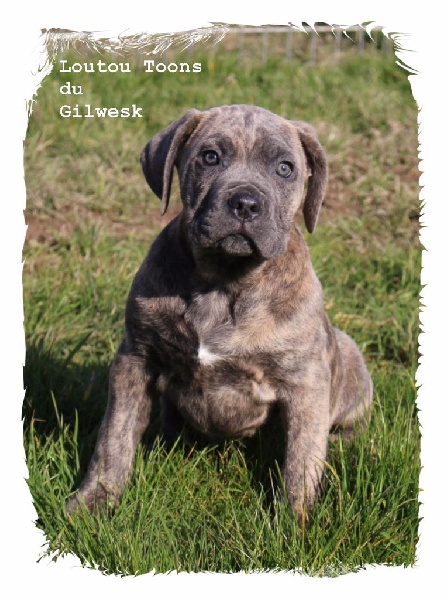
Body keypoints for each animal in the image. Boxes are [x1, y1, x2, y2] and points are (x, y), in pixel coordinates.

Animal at [66, 104, 373, 522]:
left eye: (285, 168)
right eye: (210, 157)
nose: (245, 203)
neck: (224, 281)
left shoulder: (305, 382)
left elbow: (302, 457)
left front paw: (293, 521)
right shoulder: (135, 359)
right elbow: (114, 436)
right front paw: (92, 501)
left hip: (350, 360)